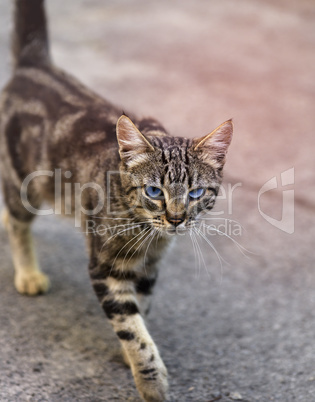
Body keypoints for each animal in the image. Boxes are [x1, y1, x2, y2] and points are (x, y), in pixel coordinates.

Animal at [0, 1, 232, 400]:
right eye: (154, 191)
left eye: (196, 193)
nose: (176, 219)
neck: (145, 232)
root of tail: (35, 65)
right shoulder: (104, 266)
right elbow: (131, 327)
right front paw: (150, 380)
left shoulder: (150, 268)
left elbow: (141, 311)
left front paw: (130, 353)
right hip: (22, 181)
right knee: (18, 223)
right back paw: (28, 273)